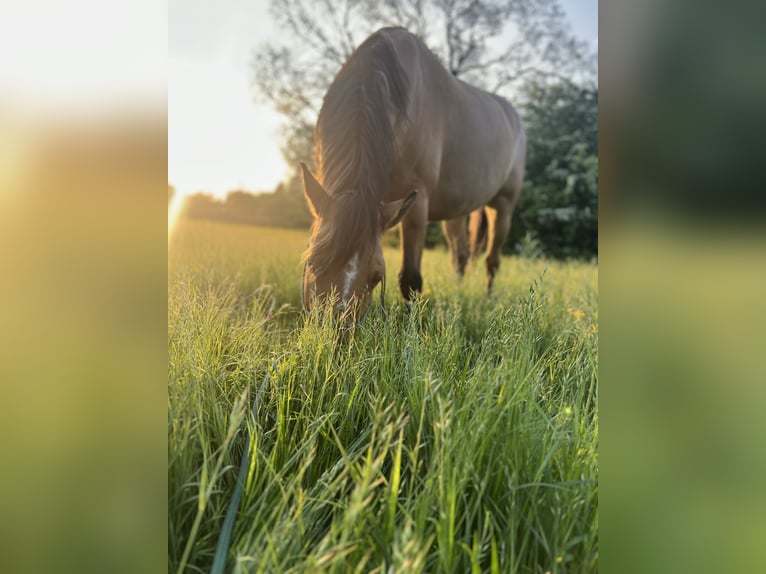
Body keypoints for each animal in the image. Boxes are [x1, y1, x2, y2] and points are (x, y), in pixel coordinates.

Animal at [301, 27, 526, 318]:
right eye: (312, 263)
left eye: (376, 278)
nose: (334, 328)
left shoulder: (416, 204)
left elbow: (410, 279)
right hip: (457, 210)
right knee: (461, 254)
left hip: (503, 207)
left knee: (492, 261)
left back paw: (487, 303)